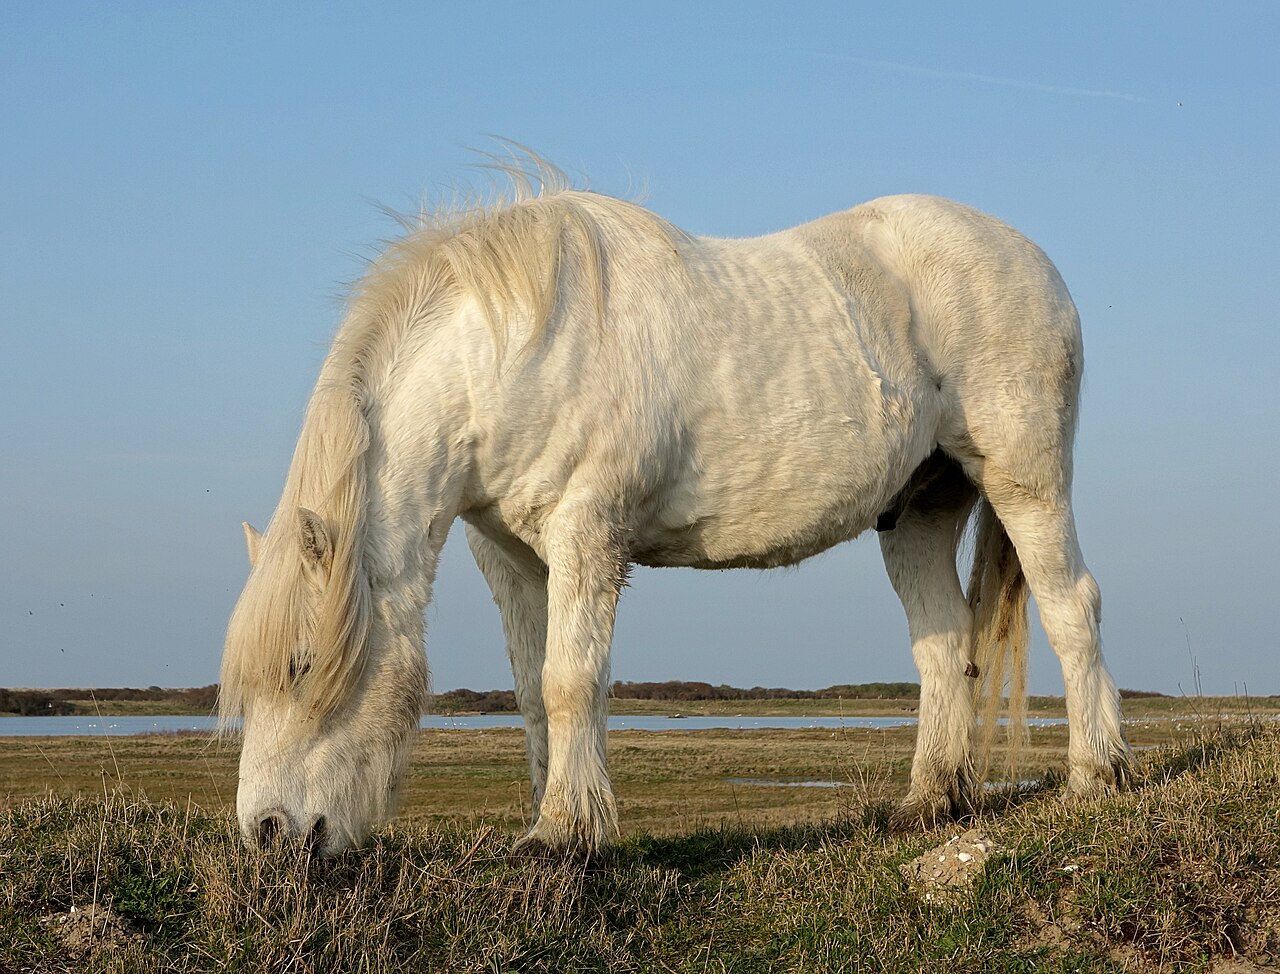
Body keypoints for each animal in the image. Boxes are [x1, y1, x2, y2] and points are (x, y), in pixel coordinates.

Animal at [220, 161, 1132, 857]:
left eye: (302, 663)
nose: (267, 834)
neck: (511, 351)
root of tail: (1029, 257)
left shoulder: (587, 534)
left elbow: (570, 679)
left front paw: (564, 838)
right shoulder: (510, 557)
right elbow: (531, 692)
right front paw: (553, 820)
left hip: (1026, 483)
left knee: (1072, 608)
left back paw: (1097, 776)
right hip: (919, 511)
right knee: (945, 648)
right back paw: (931, 803)